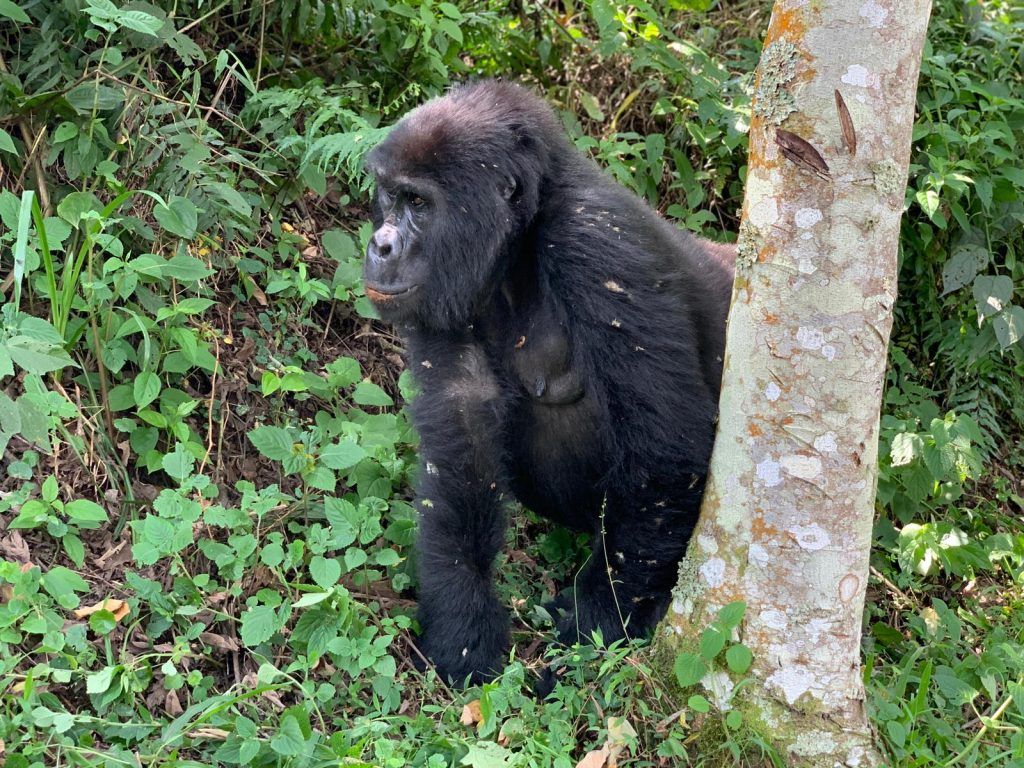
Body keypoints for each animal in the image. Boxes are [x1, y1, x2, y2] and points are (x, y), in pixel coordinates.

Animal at [364, 82, 733, 684]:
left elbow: (666, 450)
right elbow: (463, 431)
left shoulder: (598, 246)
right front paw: (463, 629)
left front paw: (593, 634)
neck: (525, 231)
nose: (381, 245)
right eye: (389, 197)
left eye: (418, 204)